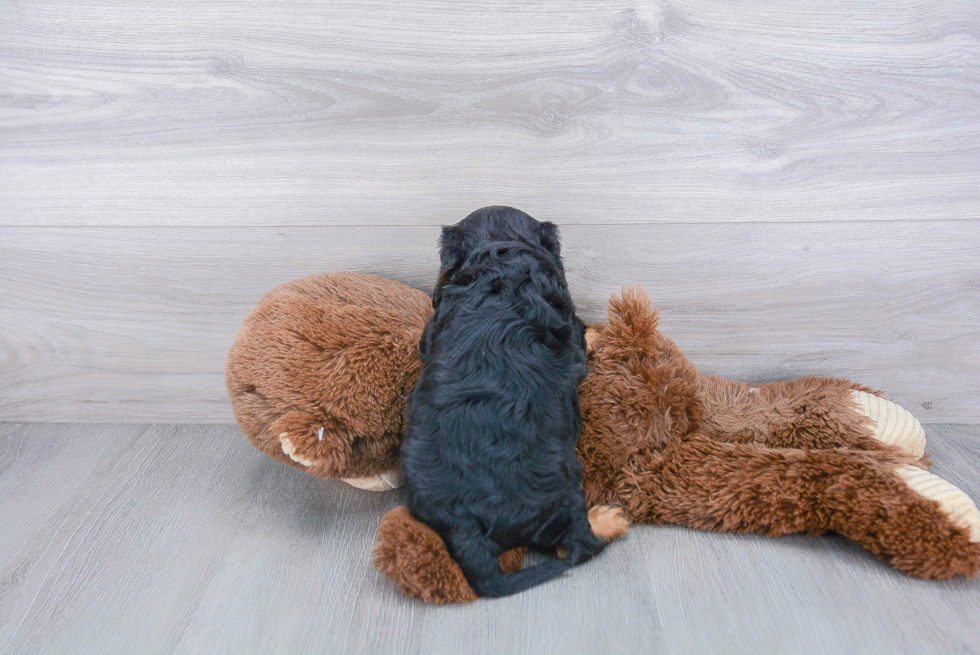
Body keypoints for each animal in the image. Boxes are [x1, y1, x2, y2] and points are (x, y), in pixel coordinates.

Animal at [400, 206, 620, 600]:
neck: (499, 255)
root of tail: (467, 528)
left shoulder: (431, 330)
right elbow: (582, 339)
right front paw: (597, 333)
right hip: (565, 493)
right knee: (576, 547)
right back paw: (607, 520)